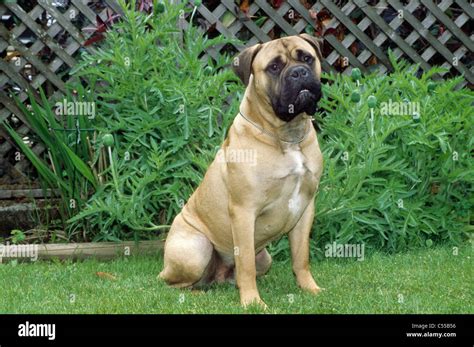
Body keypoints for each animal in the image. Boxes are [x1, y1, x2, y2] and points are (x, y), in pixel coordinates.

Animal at [161, 33, 324, 310]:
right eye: (274, 67)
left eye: (307, 58)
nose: (299, 73)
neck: (287, 133)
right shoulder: (244, 211)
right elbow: (245, 263)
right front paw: (252, 302)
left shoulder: (305, 209)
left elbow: (301, 257)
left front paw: (310, 289)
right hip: (196, 249)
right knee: (175, 285)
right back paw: (198, 294)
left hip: (265, 258)